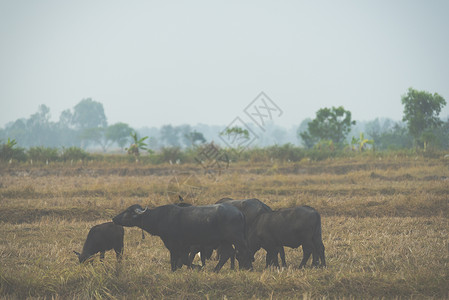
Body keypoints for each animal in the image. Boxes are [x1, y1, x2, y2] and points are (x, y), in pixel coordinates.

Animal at [112, 204, 252, 272]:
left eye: (128, 212)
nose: (114, 218)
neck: (160, 218)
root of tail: (240, 213)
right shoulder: (180, 247)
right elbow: (178, 261)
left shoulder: (177, 246)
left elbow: (181, 260)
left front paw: (197, 267)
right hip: (225, 241)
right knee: (228, 253)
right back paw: (215, 270)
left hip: (237, 239)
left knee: (243, 252)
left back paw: (247, 268)